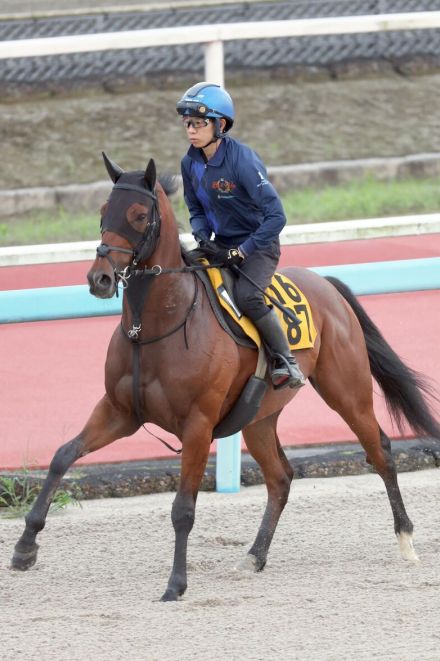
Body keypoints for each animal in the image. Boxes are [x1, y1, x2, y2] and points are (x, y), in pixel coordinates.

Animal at [12, 153, 438, 600]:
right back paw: (254, 555)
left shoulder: (197, 424)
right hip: (259, 415)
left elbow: (183, 508)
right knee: (280, 478)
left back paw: (406, 539)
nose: (100, 278)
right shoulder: (119, 411)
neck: (153, 327)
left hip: (347, 391)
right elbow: (63, 456)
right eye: (102, 211)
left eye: (139, 214)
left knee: (381, 451)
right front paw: (25, 547)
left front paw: (176, 583)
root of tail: (327, 285)